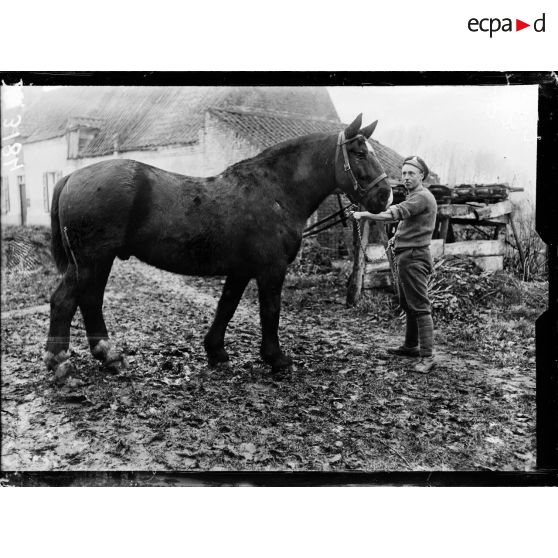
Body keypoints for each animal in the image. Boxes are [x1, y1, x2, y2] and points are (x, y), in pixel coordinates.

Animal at [43, 114, 394, 384]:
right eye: (359, 153)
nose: (385, 196)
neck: (275, 192)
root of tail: (72, 176)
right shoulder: (271, 269)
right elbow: (270, 311)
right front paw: (276, 358)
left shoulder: (240, 270)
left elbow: (226, 306)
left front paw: (216, 351)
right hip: (91, 260)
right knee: (65, 301)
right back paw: (60, 361)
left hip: (96, 261)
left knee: (89, 300)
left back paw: (109, 356)